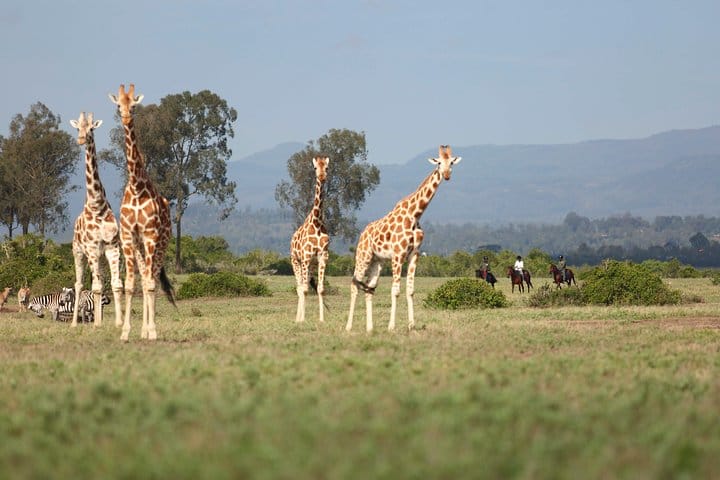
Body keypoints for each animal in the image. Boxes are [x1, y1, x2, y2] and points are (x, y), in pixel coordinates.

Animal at [69, 112, 124, 328]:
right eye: (78, 128)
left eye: (91, 128)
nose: (81, 139)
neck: (97, 204)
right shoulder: (91, 248)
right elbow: (97, 286)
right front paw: (98, 324)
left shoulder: (112, 247)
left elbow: (116, 284)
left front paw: (119, 322)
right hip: (78, 252)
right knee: (79, 283)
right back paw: (74, 323)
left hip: (99, 257)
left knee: (96, 280)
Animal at [109, 84, 175, 341]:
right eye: (119, 105)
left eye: (134, 105)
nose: (126, 116)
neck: (137, 188)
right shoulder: (128, 237)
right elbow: (130, 285)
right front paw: (126, 332)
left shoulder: (150, 237)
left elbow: (149, 284)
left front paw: (152, 331)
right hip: (138, 248)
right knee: (145, 277)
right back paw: (143, 330)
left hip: (161, 244)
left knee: (152, 278)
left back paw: (149, 331)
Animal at [346, 145, 461, 333]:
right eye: (438, 162)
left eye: (451, 162)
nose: (446, 175)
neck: (415, 214)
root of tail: (362, 234)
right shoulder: (398, 255)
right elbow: (395, 291)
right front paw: (391, 326)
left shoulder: (414, 254)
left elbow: (410, 290)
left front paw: (411, 325)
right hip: (363, 256)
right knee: (355, 284)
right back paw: (348, 326)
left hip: (377, 262)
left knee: (369, 289)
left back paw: (370, 328)